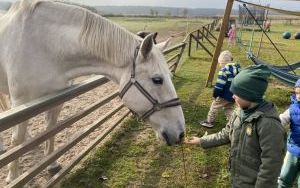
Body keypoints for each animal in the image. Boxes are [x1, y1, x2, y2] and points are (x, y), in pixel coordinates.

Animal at [0, 0, 185, 183]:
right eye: (157, 79)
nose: (180, 134)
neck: (47, 46)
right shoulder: (21, 102)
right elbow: (16, 140)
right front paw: (12, 177)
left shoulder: (55, 99)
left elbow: (50, 130)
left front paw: (52, 165)